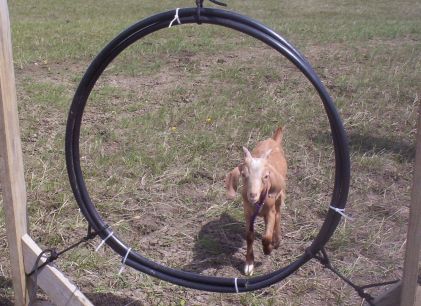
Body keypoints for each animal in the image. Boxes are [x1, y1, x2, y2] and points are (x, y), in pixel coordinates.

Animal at [225, 127, 288, 278]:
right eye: (243, 174)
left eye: (266, 176)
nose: (252, 195)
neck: (258, 203)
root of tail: (273, 140)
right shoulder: (247, 212)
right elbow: (249, 236)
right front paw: (249, 264)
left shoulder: (270, 212)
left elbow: (266, 236)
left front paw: (268, 249)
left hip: (280, 195)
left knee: (278, 213)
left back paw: (277, 240)